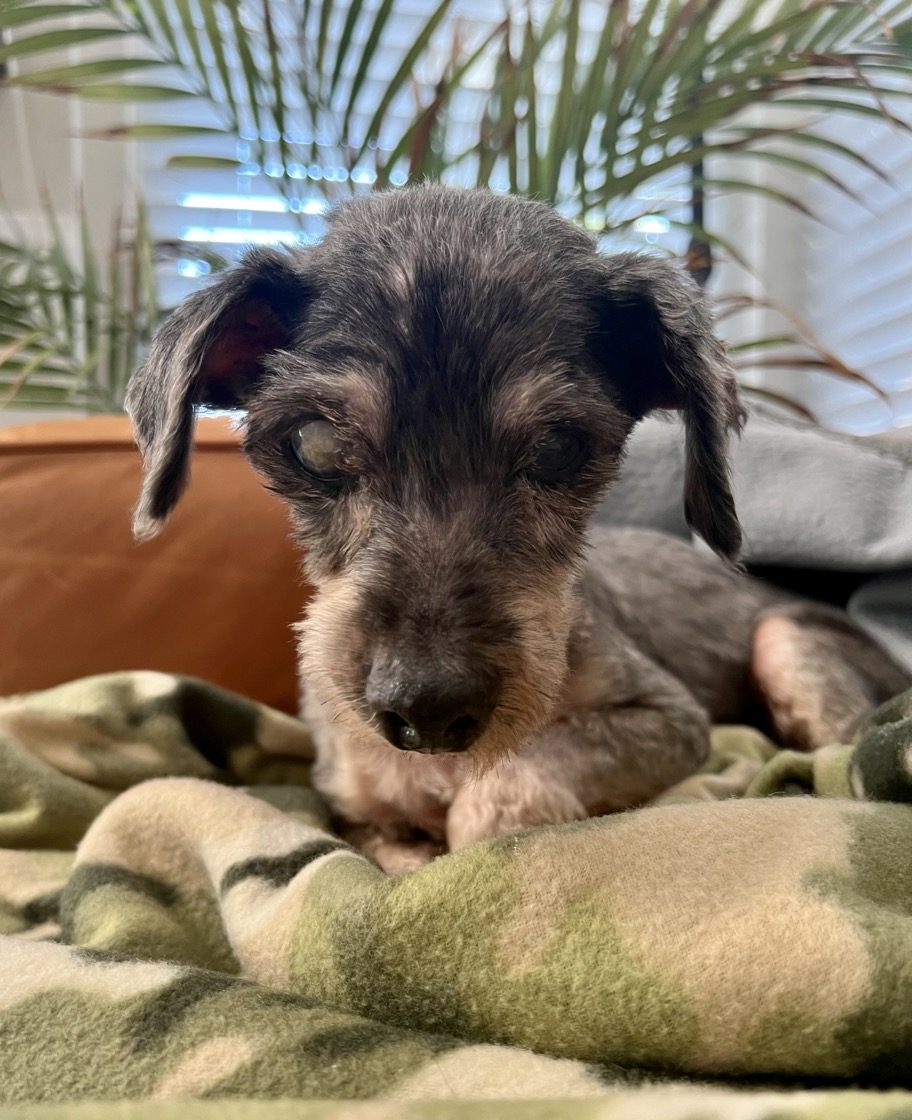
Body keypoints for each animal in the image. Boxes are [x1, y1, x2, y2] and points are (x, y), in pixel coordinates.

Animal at [124, 183, 909, 869]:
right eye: (312, 443)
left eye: (561, 448)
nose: (428, 708)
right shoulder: (351, 811)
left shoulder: (668, 719)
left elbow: (501, 791)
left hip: (784, 641)